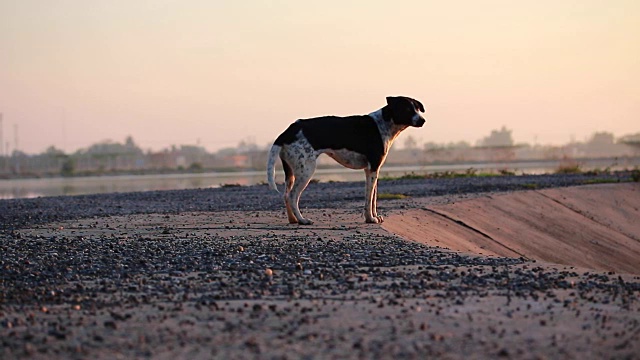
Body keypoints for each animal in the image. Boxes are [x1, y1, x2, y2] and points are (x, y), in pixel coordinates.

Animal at [264, 97, 424, 224]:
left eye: (417, 108)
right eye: (407, 109)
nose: (423, 120)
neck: (384, 123)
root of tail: (288, 131)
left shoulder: (371, 170)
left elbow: (373, 198)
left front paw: (374, 217)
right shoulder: (373, 169)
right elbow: (369, 199)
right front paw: (370, 218)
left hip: (291, 171)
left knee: (286, 195)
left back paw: (293, 219)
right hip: (306, 170)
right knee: (292, 196)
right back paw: (302, 220)